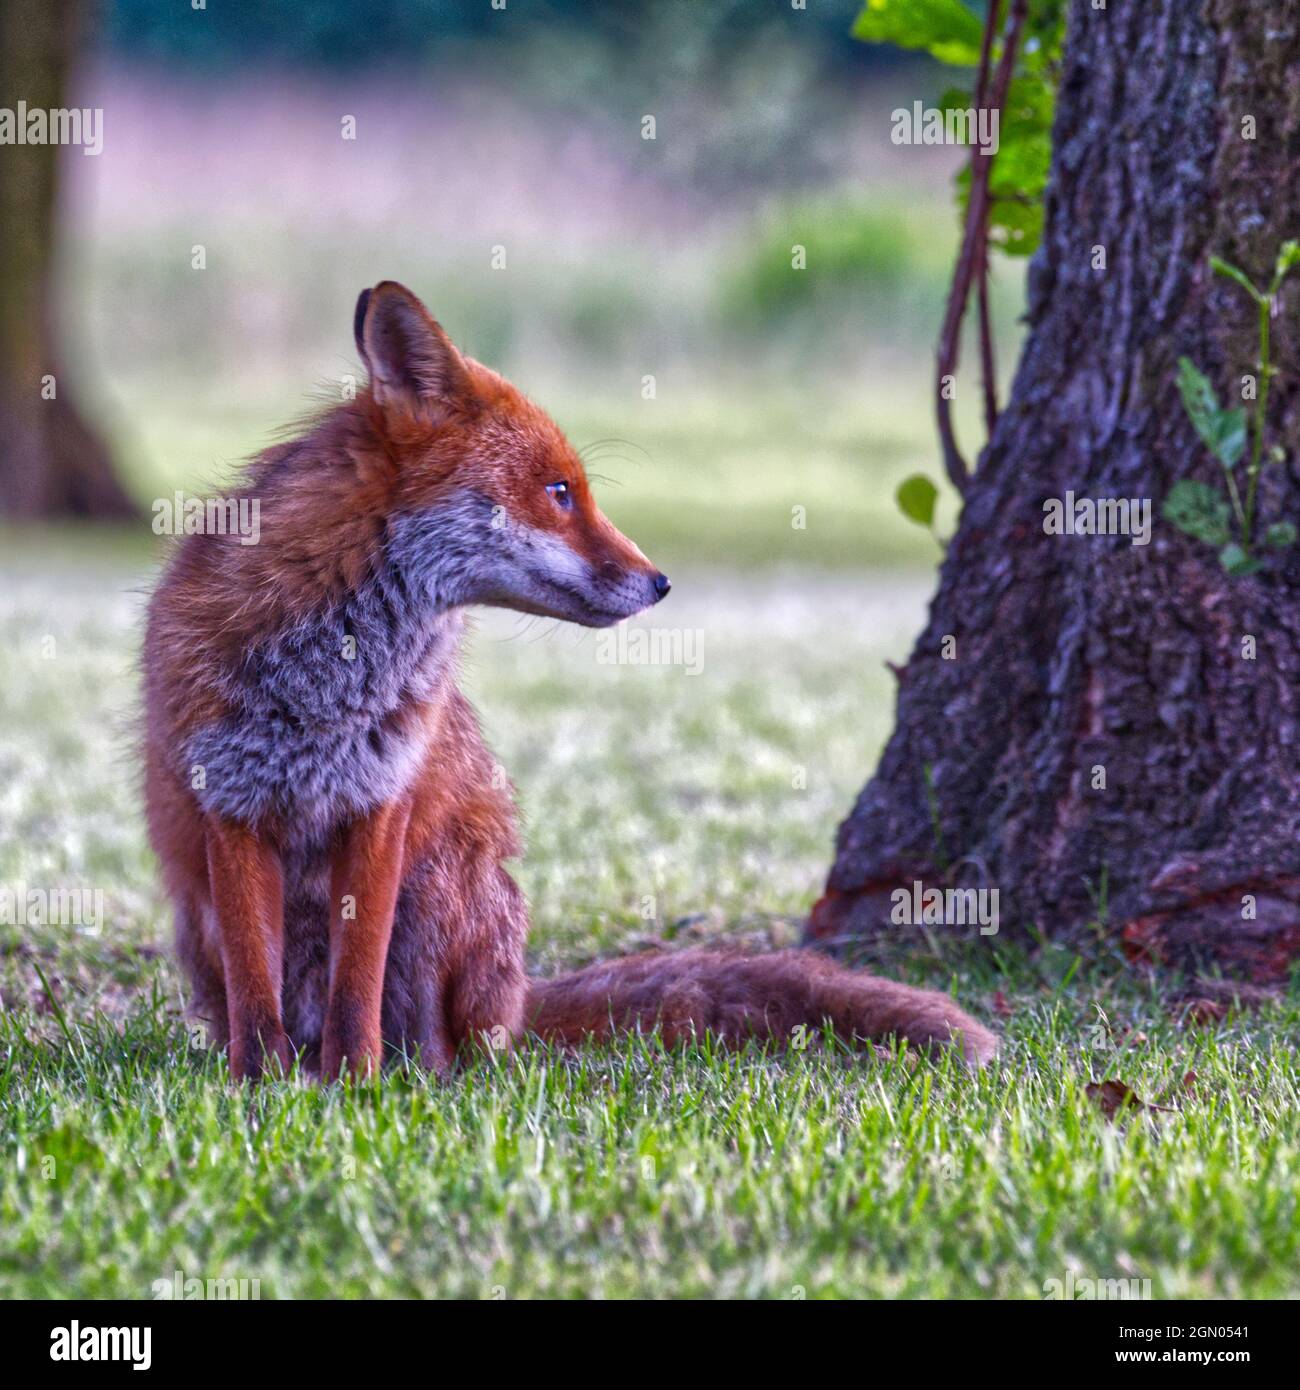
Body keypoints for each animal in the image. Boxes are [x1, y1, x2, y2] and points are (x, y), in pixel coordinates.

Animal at [142, 282, 995, 1078]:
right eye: (559, 493)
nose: (661, 583)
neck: (324, 684)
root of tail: (521, 999)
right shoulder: (231, 803)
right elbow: (256, 993)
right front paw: (260, 1087)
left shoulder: (381, 801)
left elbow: (358, 985)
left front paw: (355, 1086)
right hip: (202, 921)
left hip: (443, 886)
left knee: (453, 1046)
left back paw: (412, 1074)